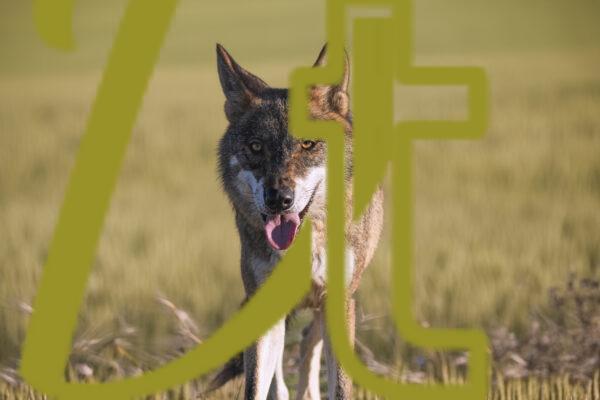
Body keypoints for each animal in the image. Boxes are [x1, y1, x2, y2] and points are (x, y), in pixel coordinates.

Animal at [214, 43, 384, 400]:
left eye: (308, 144)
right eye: (256, 147)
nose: (279, 199)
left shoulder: (338, 301)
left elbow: (340, 385)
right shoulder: (263, 304)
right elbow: (255, 386)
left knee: (308, 348)